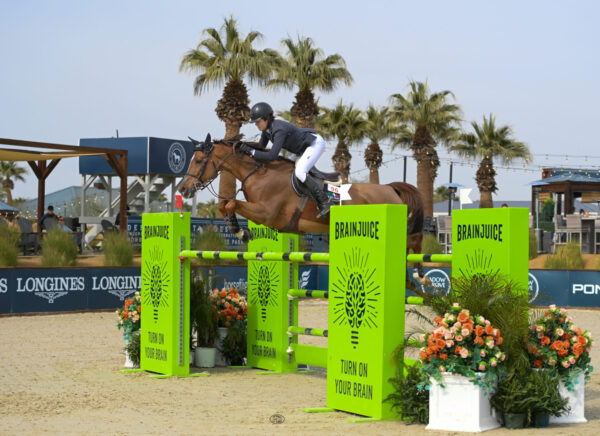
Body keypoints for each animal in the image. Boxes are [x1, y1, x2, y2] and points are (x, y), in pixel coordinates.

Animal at [176, 135, 428, 288]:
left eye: (198, 160)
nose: (182, 189)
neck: (258, 173)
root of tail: (390, 188)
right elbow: (225, 205)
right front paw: (239, 230)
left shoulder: (266, 213)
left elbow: (231, 204)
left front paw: (242, 232)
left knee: (414, 241)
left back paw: (420, 274)